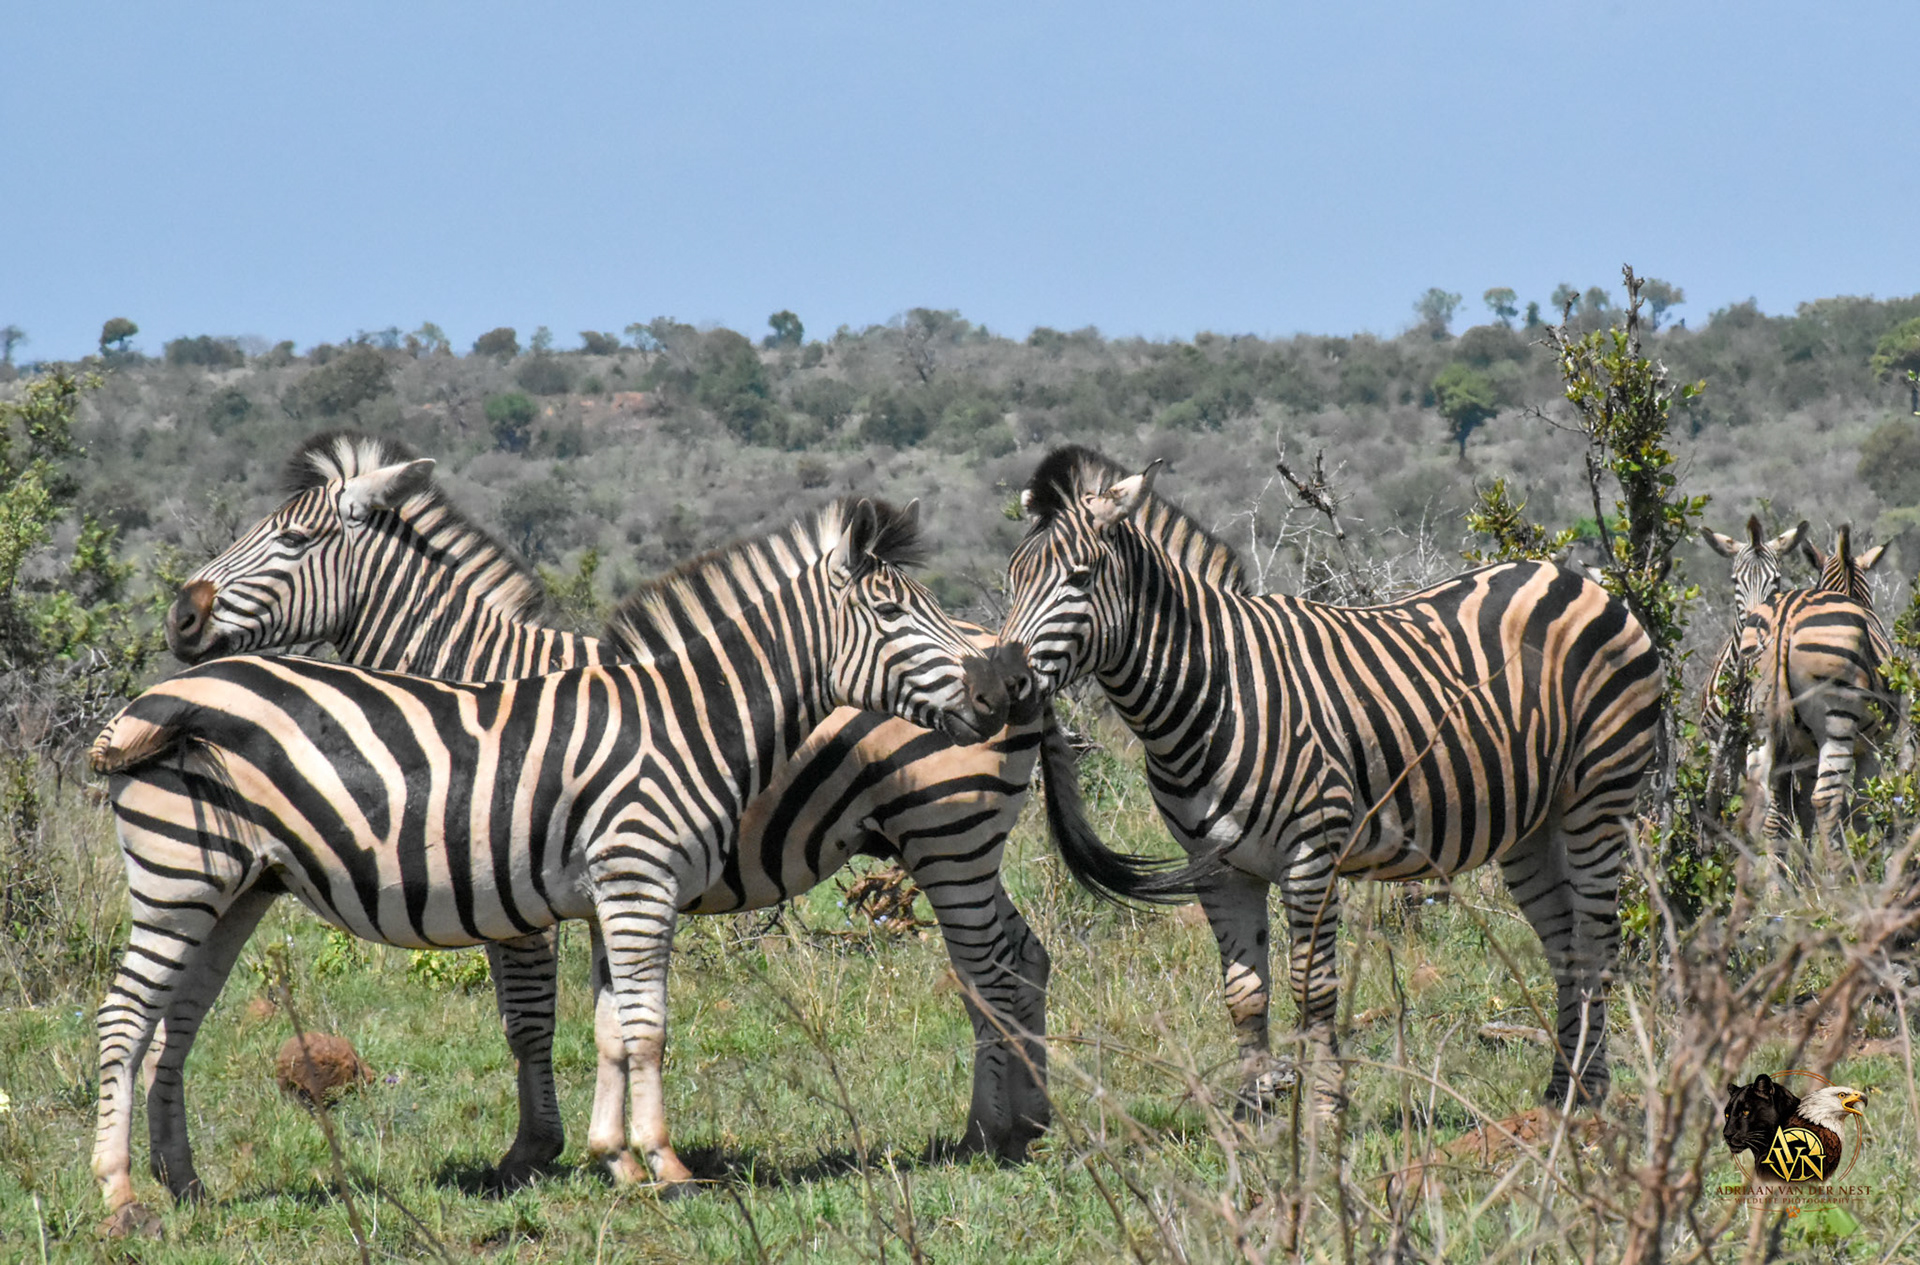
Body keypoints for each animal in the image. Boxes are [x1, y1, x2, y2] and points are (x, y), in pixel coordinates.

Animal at [127, 433, 1160, 1210]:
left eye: (290, 540)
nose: (180, 618)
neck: (484, 679)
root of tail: (1019, 669)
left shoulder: (516, 880)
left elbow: (530, 1018)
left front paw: (533, 1152)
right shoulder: (585, 882)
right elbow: (605, 1022)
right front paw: (600, 1150)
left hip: (948, 837)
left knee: (994, 968)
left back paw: (998, 1129)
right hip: (953, 845)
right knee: (1019, 957)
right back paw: (1019, 1121)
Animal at [996, 446, 1664, 1110]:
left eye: (1080, 578)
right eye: (1010, 580)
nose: (1004, 687)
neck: (1216, 689)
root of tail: (1572, 579)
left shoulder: (1311, 854)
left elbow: (1311, 988)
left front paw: (1322, 1107)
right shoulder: (1217, 868)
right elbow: (1244, 991)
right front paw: (1257, 1110)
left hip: (1598, 798)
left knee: (1598, 941)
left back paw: (1589, 1090)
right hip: (1531, 823)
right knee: (1564, 942)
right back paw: (1562, 1087)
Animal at [1747, 525, 1895, 846]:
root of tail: (1785, 618)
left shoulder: (1803, 755)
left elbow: (1799, 810)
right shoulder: (1872, 746)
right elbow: (1861, 809)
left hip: (1759, 716)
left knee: (1760, 798)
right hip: (1836, 720)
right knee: (1827, 799)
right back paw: (1837, 862)